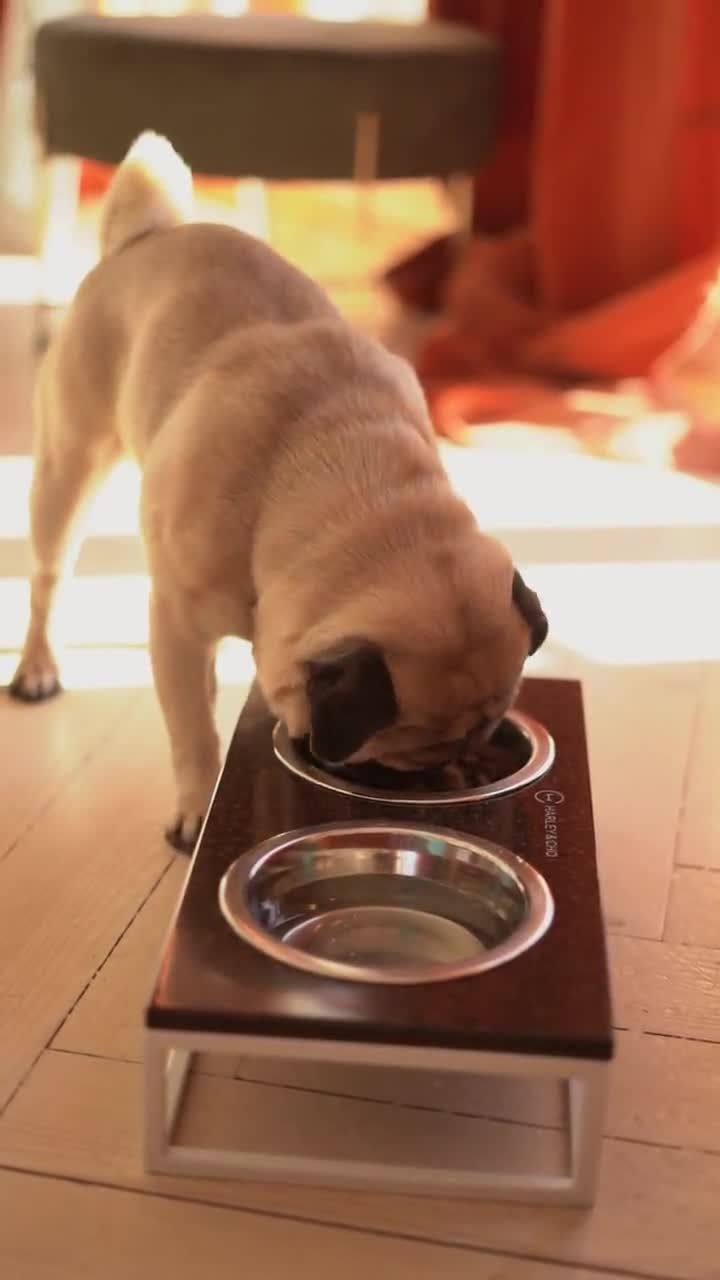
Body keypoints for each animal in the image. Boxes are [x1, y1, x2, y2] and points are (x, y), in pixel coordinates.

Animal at [9, 132, 543, 849]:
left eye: (481, 735)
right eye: (406, 753)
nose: (449, 770)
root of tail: (146, 237)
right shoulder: (176, 623)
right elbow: (191, 731)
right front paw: (198, 808)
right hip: (69, 464)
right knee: (49, 578)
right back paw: (39, 667)